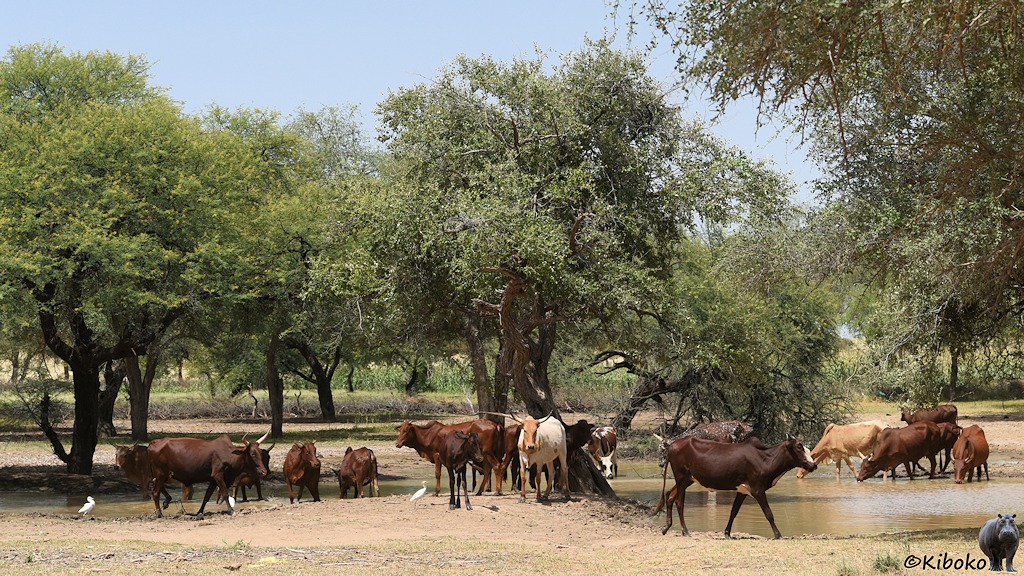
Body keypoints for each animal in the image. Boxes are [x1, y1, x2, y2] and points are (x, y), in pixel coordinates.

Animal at [660, 435, 816, 539]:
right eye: (799, 447)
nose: (813, 465)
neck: (765, 458)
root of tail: (672, 445)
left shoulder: (743, 491)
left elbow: (733, 512)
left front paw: (727, 533)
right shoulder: (758, 490)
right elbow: (769, 513)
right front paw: (778, 534)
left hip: (688, 479)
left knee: (669, 496)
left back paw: (666, 527)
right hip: (681, 477)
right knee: (679, 502)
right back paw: (685, 531)